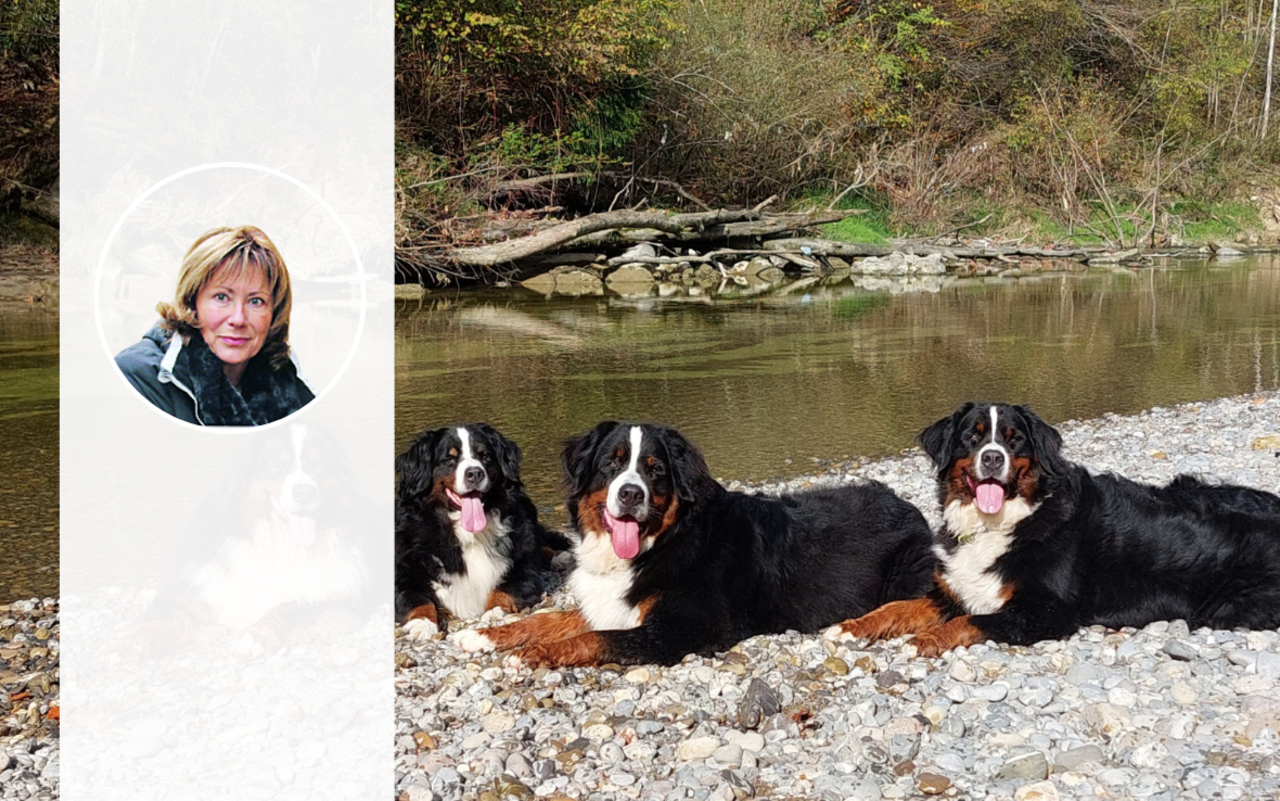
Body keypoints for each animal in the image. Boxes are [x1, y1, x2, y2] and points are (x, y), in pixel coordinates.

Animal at [455, 422, 936, 665]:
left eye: (655, 470)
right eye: (611, 465)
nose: (630, 495)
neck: (662, 543)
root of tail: (902, 502)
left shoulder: (679, 630)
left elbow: (597, 638)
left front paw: (536, 653)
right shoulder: (613, 602)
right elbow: (554, 618)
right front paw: (487, 636)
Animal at [824, 399, 1280, 655]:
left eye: (1013, 439)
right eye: (972, 438)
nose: (993, 458)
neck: (1002, 523)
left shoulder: (1046, 611)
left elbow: (972, 622)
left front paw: (924, 641)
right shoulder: (957, 590)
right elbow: (897, 607)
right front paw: (851, 627)